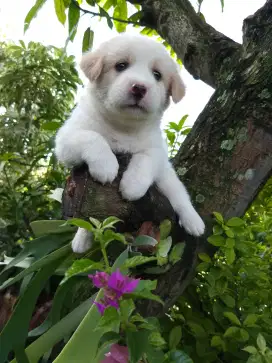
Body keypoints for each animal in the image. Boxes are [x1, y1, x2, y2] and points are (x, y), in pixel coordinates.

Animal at [55, 35, 204, 255]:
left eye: (157, 75)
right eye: (121, 65)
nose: (139, 87)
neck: (123, 127)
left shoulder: (157, 151)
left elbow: (145, 159)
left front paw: (133, 185)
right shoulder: (66, 139)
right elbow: (93, 137)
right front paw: (106, 166)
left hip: (167, 178)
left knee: (179, 195)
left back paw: (194, 221)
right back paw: (81, 240)